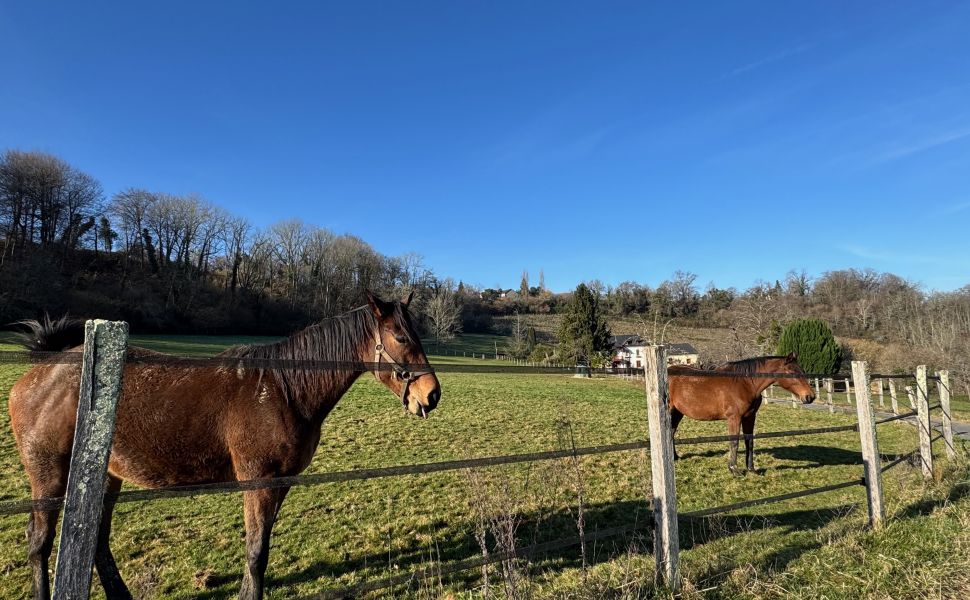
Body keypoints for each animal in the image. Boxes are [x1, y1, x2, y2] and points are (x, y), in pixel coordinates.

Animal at [6, 292, 438, 600]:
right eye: (401, 337)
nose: (431, 395)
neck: (282, 389)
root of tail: (42, 371)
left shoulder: (280, 484)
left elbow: (259, 548)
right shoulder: (259, 482)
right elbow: (256, 552)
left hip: (106, 476)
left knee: (96, 539)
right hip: (49, 476)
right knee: (39, 542)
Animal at [664, 354, 808, 476]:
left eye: (802, 371)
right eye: (792, 372)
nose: (809, 396)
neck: (746, 383)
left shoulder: (750, 417)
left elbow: (749, 442)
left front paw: (751, 469)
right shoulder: (734, 418)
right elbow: (734, 442)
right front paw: (734, 469)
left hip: (678, 413)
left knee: (671, 432)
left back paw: (675, 457)